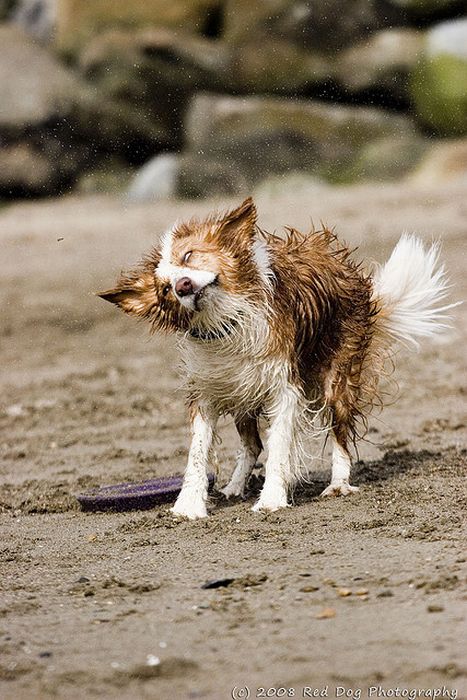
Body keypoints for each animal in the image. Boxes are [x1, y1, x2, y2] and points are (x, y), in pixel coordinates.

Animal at [100, 197, 456, 520]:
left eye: (188, 256)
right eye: (164, 290)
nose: (183, 286)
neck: (227, 323)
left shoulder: (284, 388)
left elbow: (279, 446)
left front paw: (271, 500)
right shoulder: (208, 391)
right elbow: (198, 452)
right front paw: (189, 506)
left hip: (337, 379)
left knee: (339, 434)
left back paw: (338, 484)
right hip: (241, 394)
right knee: (252, 445)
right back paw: (234, 487)